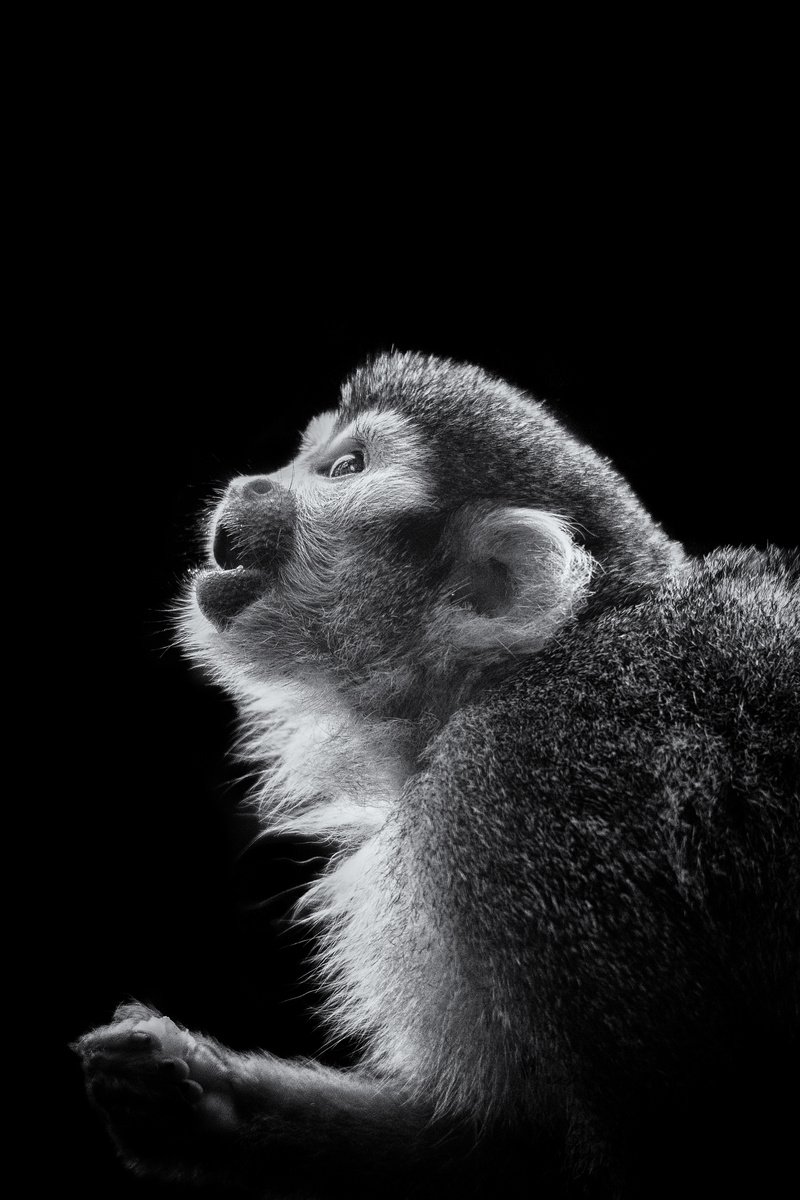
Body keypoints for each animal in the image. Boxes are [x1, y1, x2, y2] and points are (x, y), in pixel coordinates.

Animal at [75, 352, 799, 1198]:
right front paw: (200, 1099)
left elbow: (683, 1132)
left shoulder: (516, 802)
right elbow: (509, 1143)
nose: (249, 484)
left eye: (344, 468)